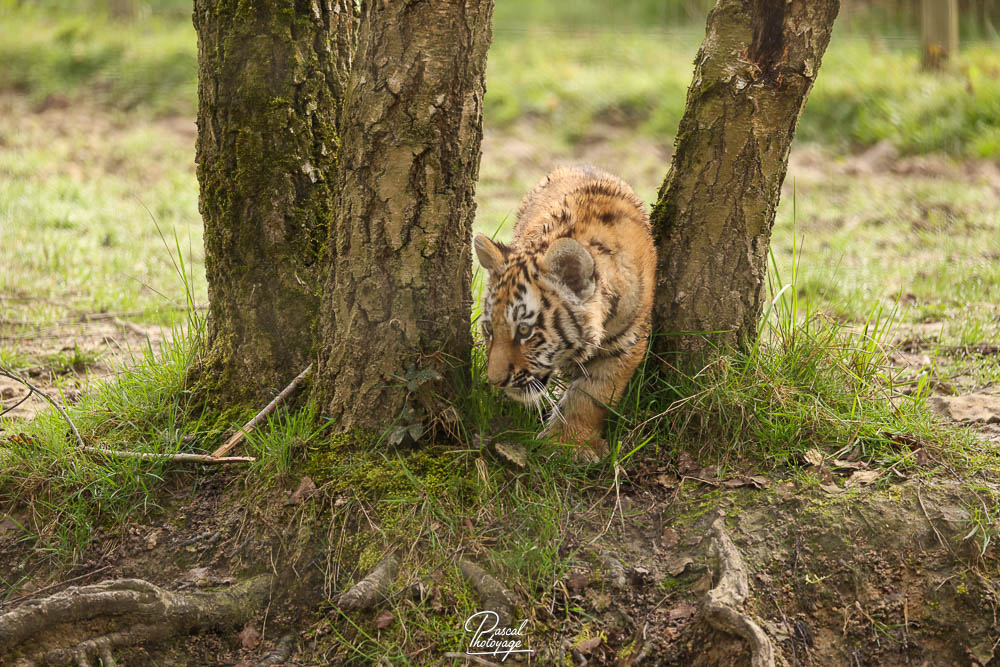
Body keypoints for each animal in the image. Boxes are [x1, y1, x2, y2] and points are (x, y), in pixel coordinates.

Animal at [473, 164, 656, 460]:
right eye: (489, 329)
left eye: (524, 331)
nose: (495, 381)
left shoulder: (625, 344)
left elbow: (593, 395)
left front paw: (570, 445)